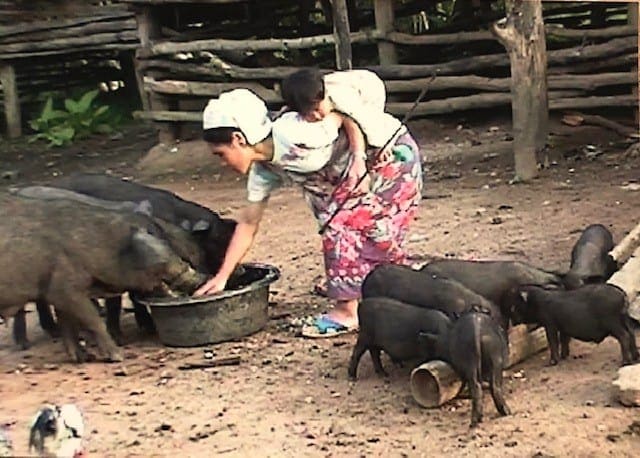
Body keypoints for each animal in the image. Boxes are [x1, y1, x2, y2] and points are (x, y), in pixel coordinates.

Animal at [0, 195, 206, 364]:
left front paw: (82, 358)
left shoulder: (56, 290)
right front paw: (118, 356)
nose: (203, 277)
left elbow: (68, 325)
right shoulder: (65, 288)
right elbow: (93, 321)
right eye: (169, 252)